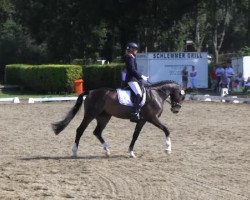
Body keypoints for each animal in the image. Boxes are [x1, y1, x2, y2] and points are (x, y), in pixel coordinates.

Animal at [52, 80, 186, 157]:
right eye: (181, 96)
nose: (176, 110)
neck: (156, 95)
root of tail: (90, 92)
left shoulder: (142, 120)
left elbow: (135, 135)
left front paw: (131, 152)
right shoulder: (152, 118)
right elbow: (166, 130)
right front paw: (168, 149)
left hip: (104, 117)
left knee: (97, 132)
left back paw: (107, 150)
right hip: (90, 115)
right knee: (80, 130)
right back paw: (75, 151)